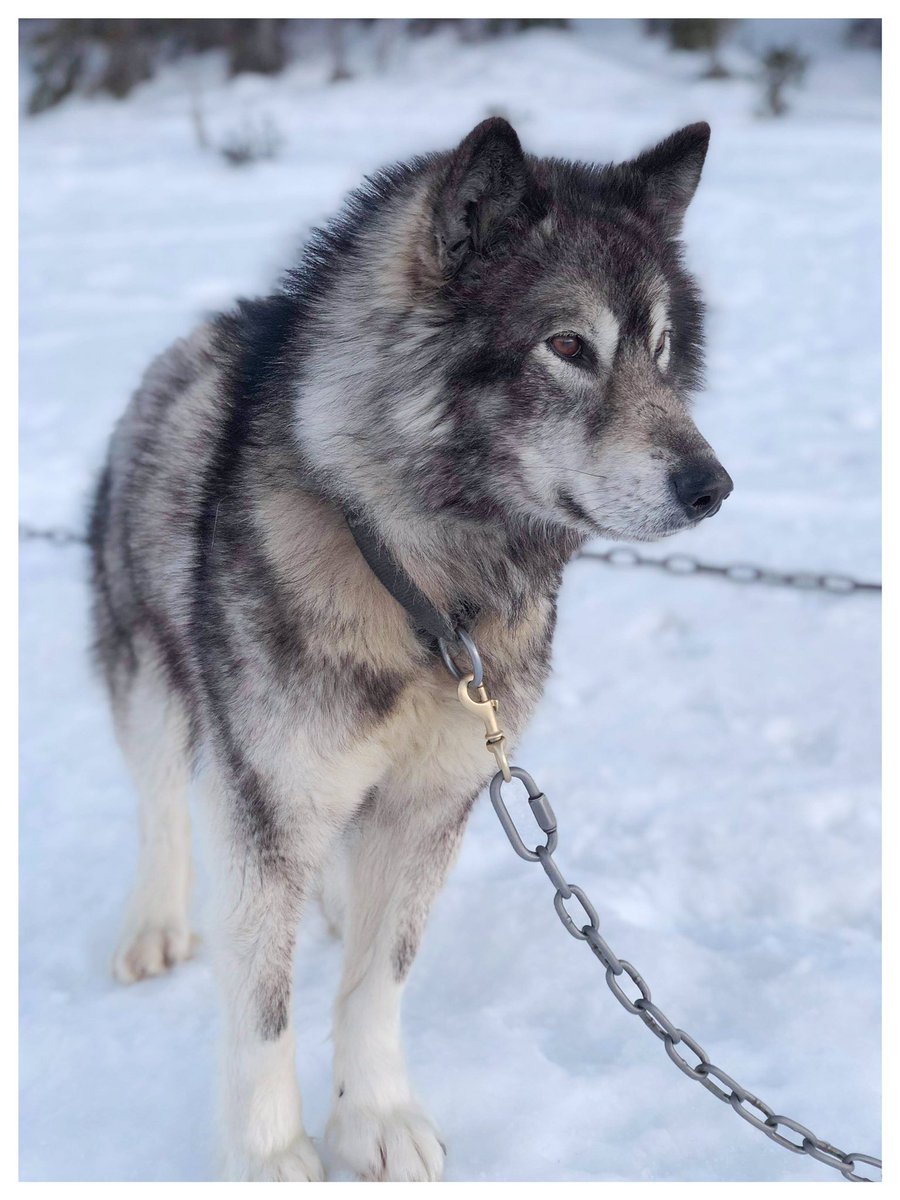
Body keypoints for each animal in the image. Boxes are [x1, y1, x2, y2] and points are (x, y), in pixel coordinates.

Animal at [88, 116, 731, 1181]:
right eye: (568, 345)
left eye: (664, 349)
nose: (711, 486)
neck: (426, 588)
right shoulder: (268, 799)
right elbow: (262, 1007)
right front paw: (271, 1156)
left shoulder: (436, 800)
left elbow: (378, 978)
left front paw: (375, 1116)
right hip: (151, 677)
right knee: (160, 808)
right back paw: (154, 922)